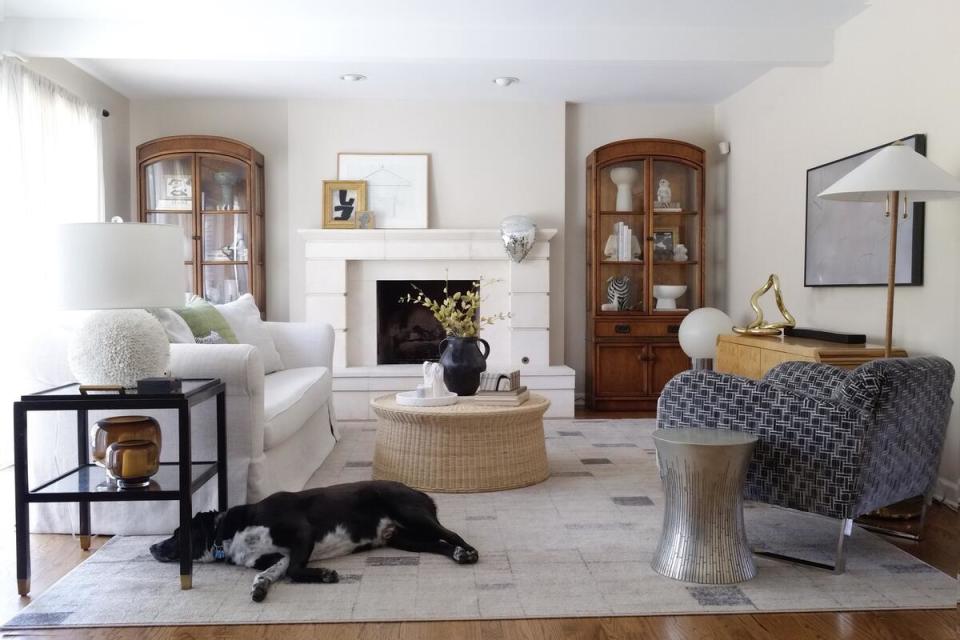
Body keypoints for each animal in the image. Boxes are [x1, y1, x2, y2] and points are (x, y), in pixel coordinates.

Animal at [151, 482, 480, 604]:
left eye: (177, 533)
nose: (152, 547)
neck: (228, 533)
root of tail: (420, 492)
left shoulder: (302, 532)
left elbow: (295, 570)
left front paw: (324, 575)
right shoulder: (276, 557)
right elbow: (270, 573)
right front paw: (259, 588)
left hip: (410, 513)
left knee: (451, 534)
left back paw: (469, 553)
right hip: (405, 539)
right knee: (440, 544)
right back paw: (458, 555)